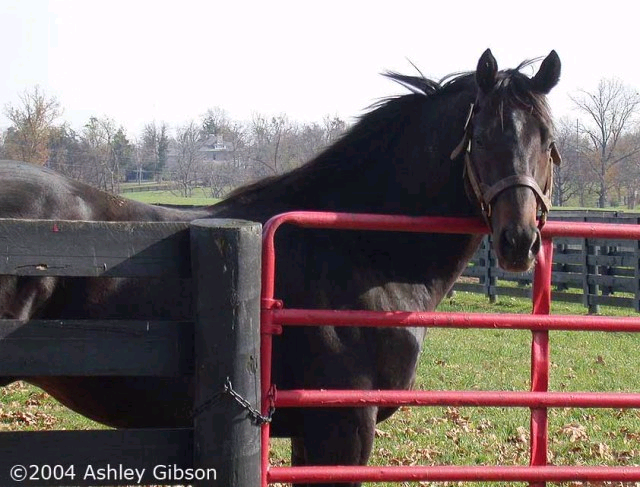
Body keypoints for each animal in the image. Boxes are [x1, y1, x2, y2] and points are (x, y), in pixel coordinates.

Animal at [0, 48, 560, 486]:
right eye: (480, 136)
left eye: (548, 138)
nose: (518, 240)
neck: (358, 249)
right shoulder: (344, 429)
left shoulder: (311, 434)